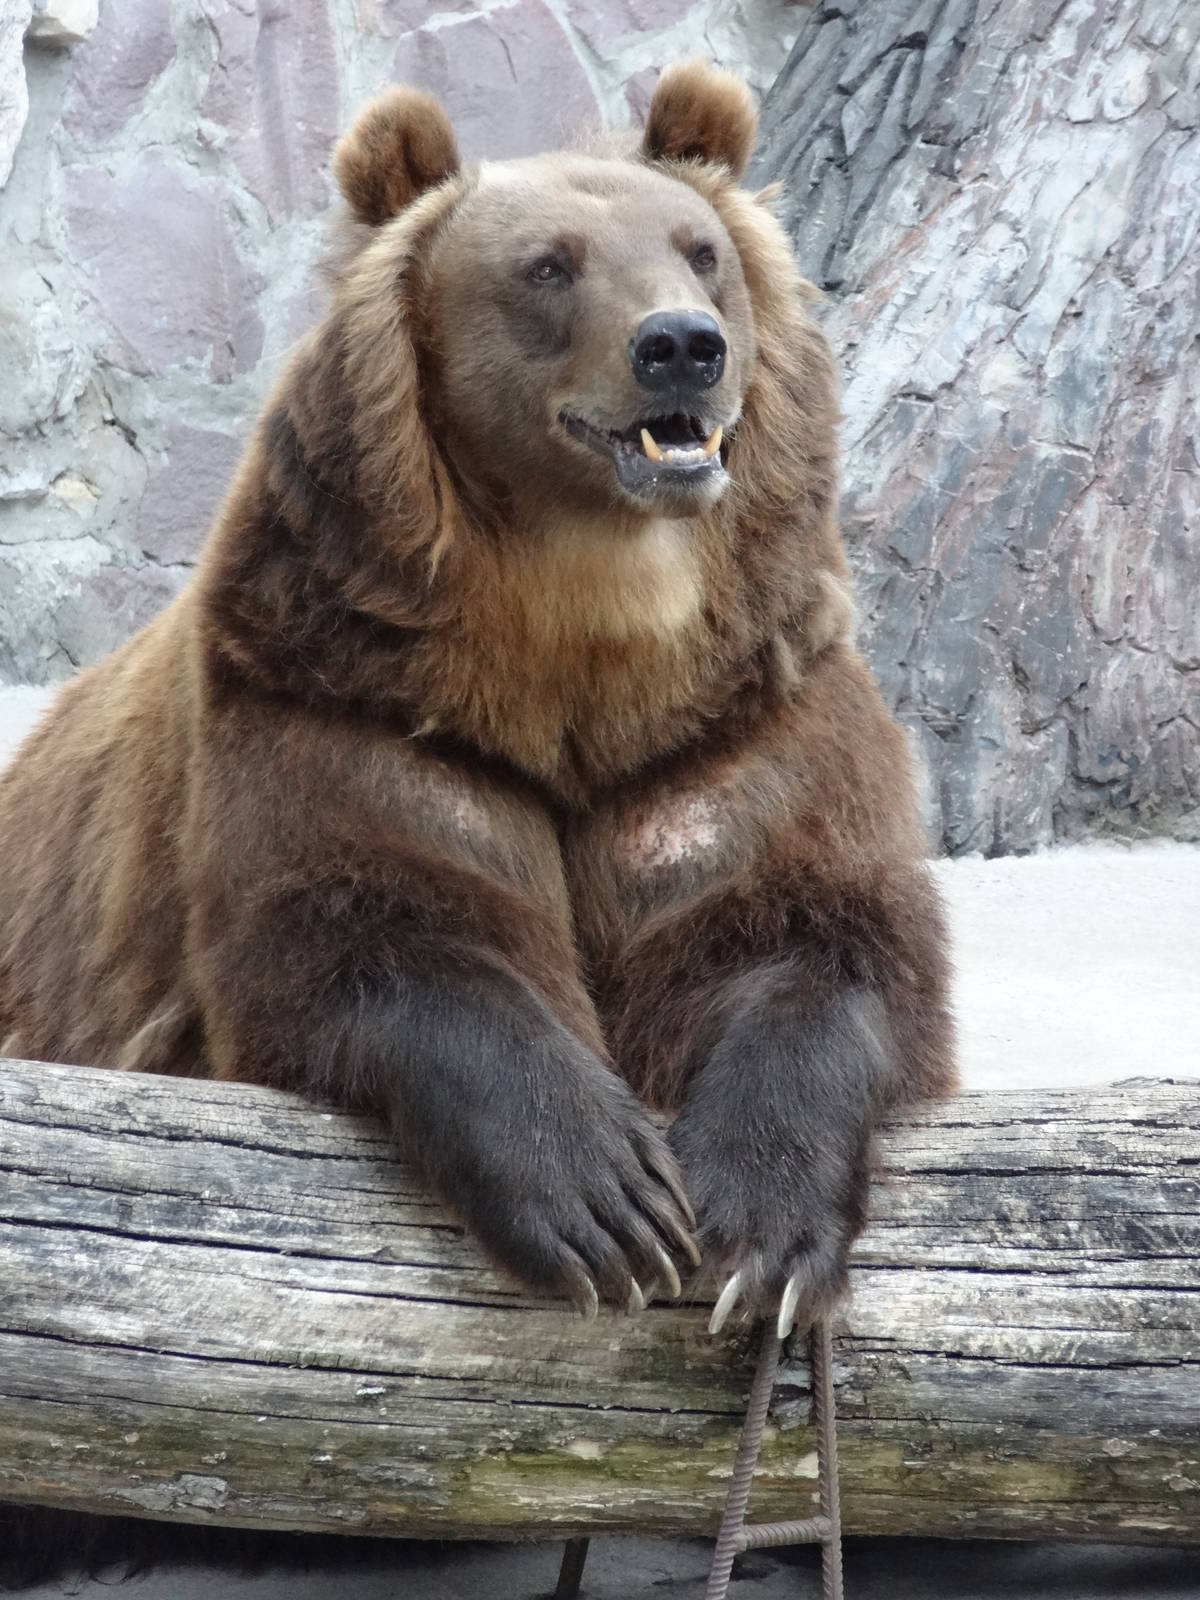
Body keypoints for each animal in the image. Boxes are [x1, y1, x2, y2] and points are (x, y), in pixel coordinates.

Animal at [0, 62, 955, 1336]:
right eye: (549, 265)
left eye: (700, 251)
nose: (682, 346)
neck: (584, 642)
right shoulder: (350, 697)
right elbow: (384, 924)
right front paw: (606, 1204)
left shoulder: (731, 725)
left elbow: (805, 927)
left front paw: (764, 1228)